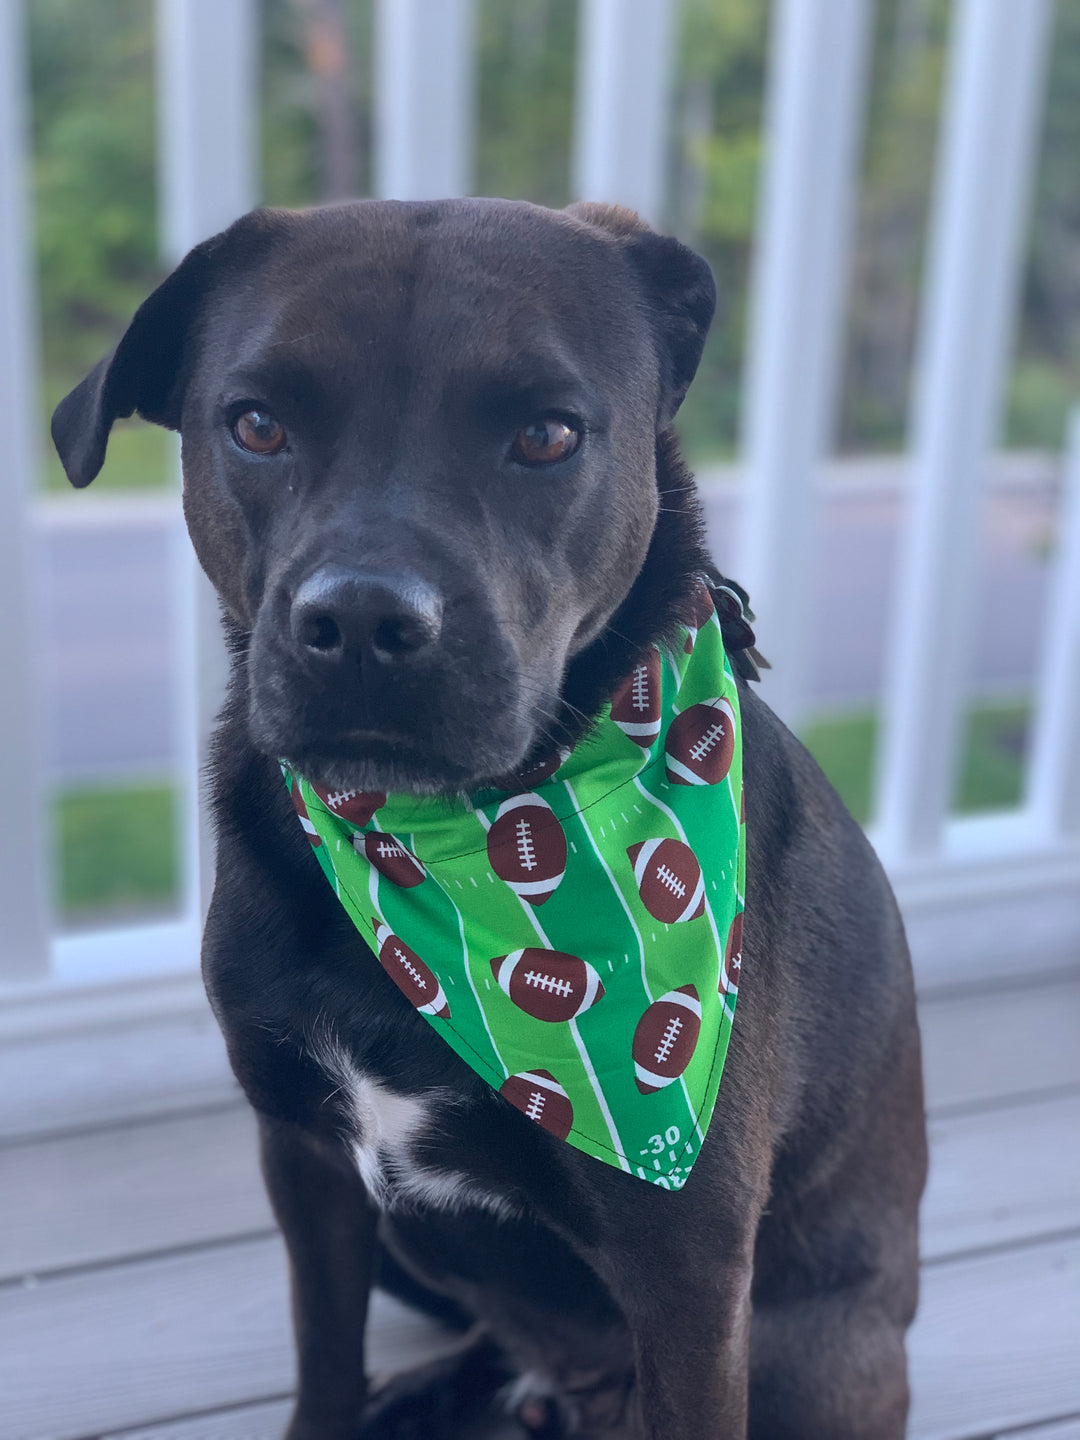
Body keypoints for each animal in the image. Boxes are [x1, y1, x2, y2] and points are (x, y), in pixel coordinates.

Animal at [52, 197, 933, 1434]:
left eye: (548, 435)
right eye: (258, 424)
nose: (360, 624)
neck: (442, 858)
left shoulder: (691, 1274)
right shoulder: (308, 1164)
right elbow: (324, 1360)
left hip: (816, 1348)